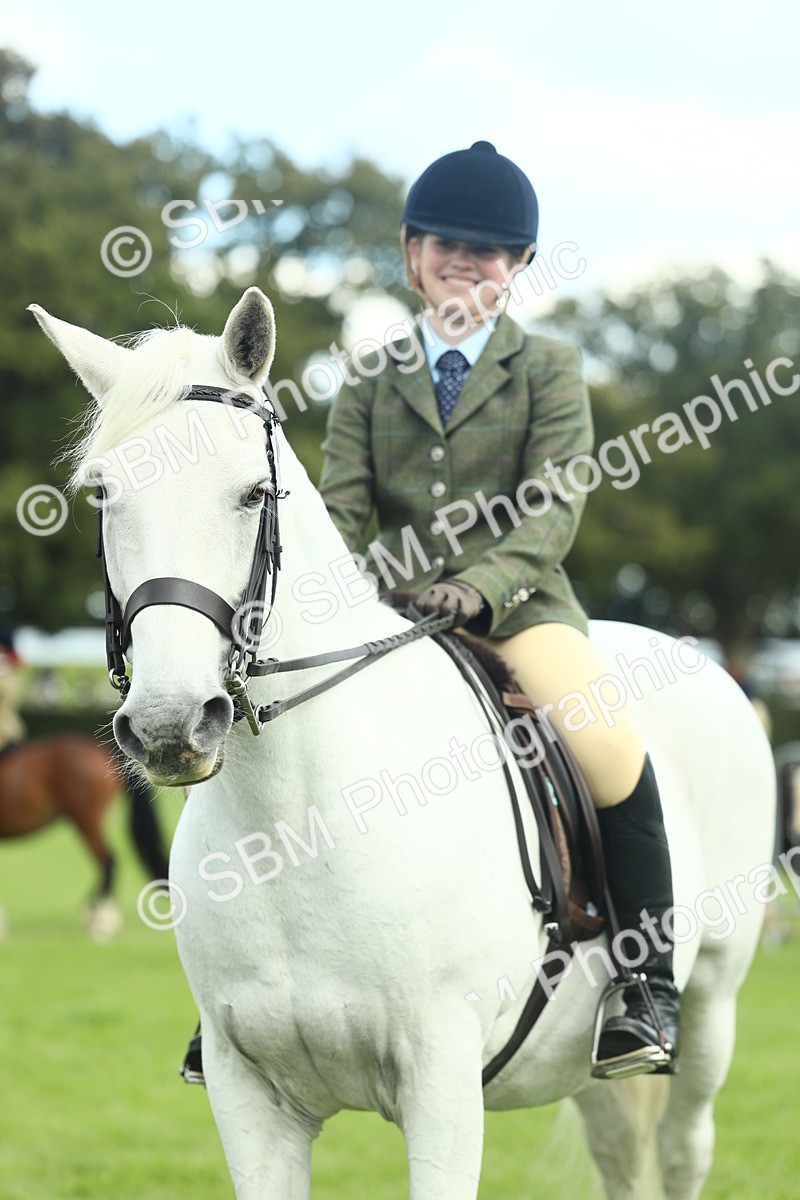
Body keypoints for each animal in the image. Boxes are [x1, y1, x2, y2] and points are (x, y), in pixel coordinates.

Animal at [30, 288, 777, 1199]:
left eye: (253, 494)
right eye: (103, 495)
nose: (171, 724)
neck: (295, 822)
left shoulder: (441, 1085)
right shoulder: (250, 1100)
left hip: (710, 1010)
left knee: (680, 1145)